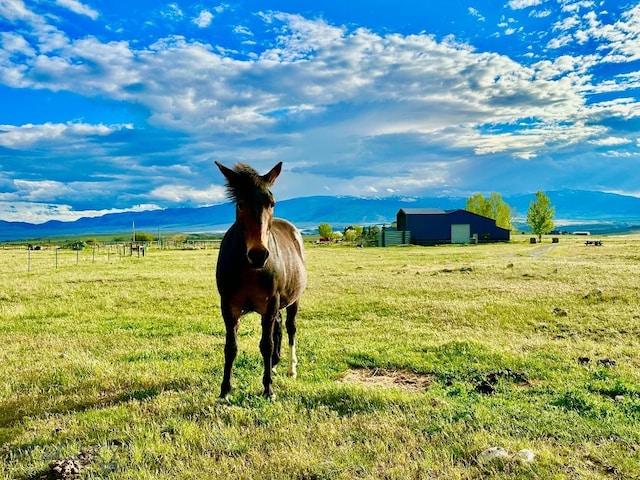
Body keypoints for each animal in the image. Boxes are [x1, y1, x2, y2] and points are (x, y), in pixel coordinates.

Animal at [214, 161, 306, 402]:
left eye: (271, 203)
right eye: (240, 204)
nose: (258, 254)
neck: (250, 270)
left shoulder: (270, 302)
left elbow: (266, 344)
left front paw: (268, 390)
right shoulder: (229, 306)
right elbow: (231, 347)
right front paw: (224, 391)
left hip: (293, 300)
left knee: (290, 328)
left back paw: (290, 368)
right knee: (278, 326)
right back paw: (274, 364)